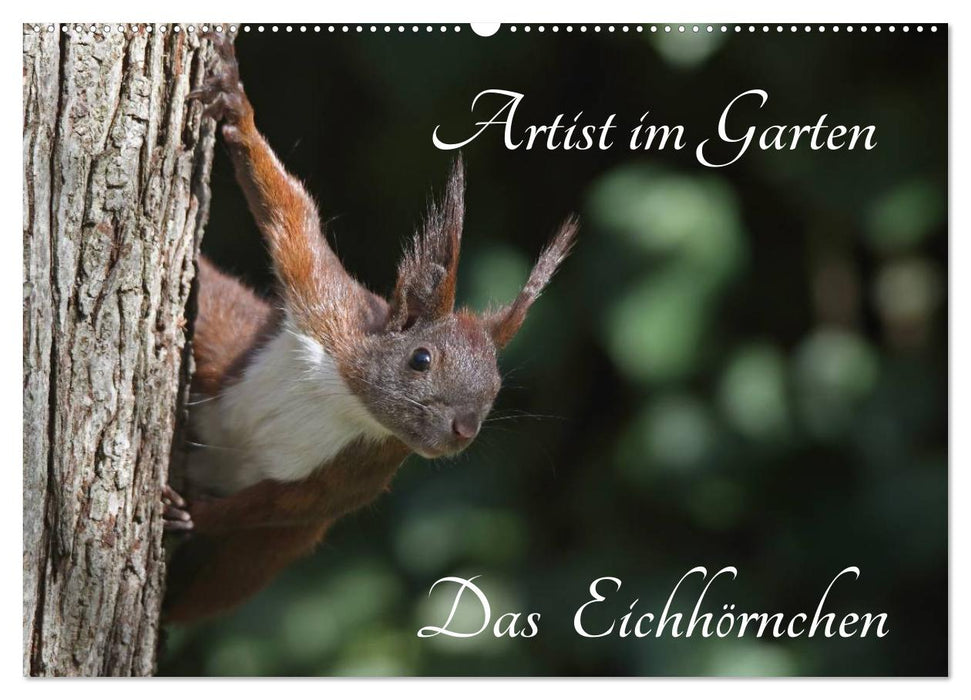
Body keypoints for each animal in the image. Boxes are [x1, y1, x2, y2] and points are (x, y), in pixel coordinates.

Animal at [161, 36, 577, 624]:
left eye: (497, 390)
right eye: (420, 359)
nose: (464, 430)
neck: (347, 397)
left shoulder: (355, 476)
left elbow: (275, 505)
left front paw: (193, 516)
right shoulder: (325, 303)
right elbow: (287, 211)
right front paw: (234, 104)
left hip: (255, 560)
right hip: (227, 338)